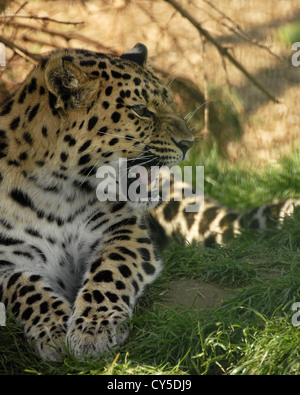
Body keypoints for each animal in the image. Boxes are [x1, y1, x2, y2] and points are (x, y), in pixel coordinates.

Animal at [0, 43, 193, 362]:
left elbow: (111, 270)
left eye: (170, 102)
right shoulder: (7, 258)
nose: (189, 142)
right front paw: (53, 330)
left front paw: (94, 329)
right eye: (141, 110)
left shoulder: (122, 228)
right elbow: (24, 287)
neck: (57, 192)